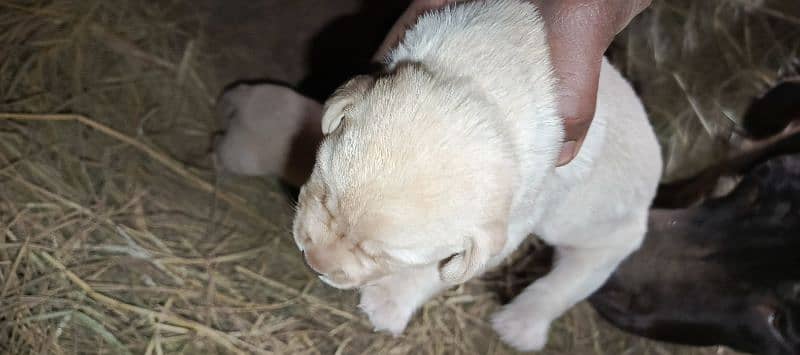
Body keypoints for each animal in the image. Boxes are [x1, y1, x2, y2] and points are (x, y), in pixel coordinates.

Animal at [290, 0, 664, 350]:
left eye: (383, 256)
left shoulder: (513, 221)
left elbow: (440, 271)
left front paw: (390, 301)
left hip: (608, 237)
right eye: (323, 199)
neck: (483, 77)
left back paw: (519, 325)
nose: (313, 262)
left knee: (571, 278)